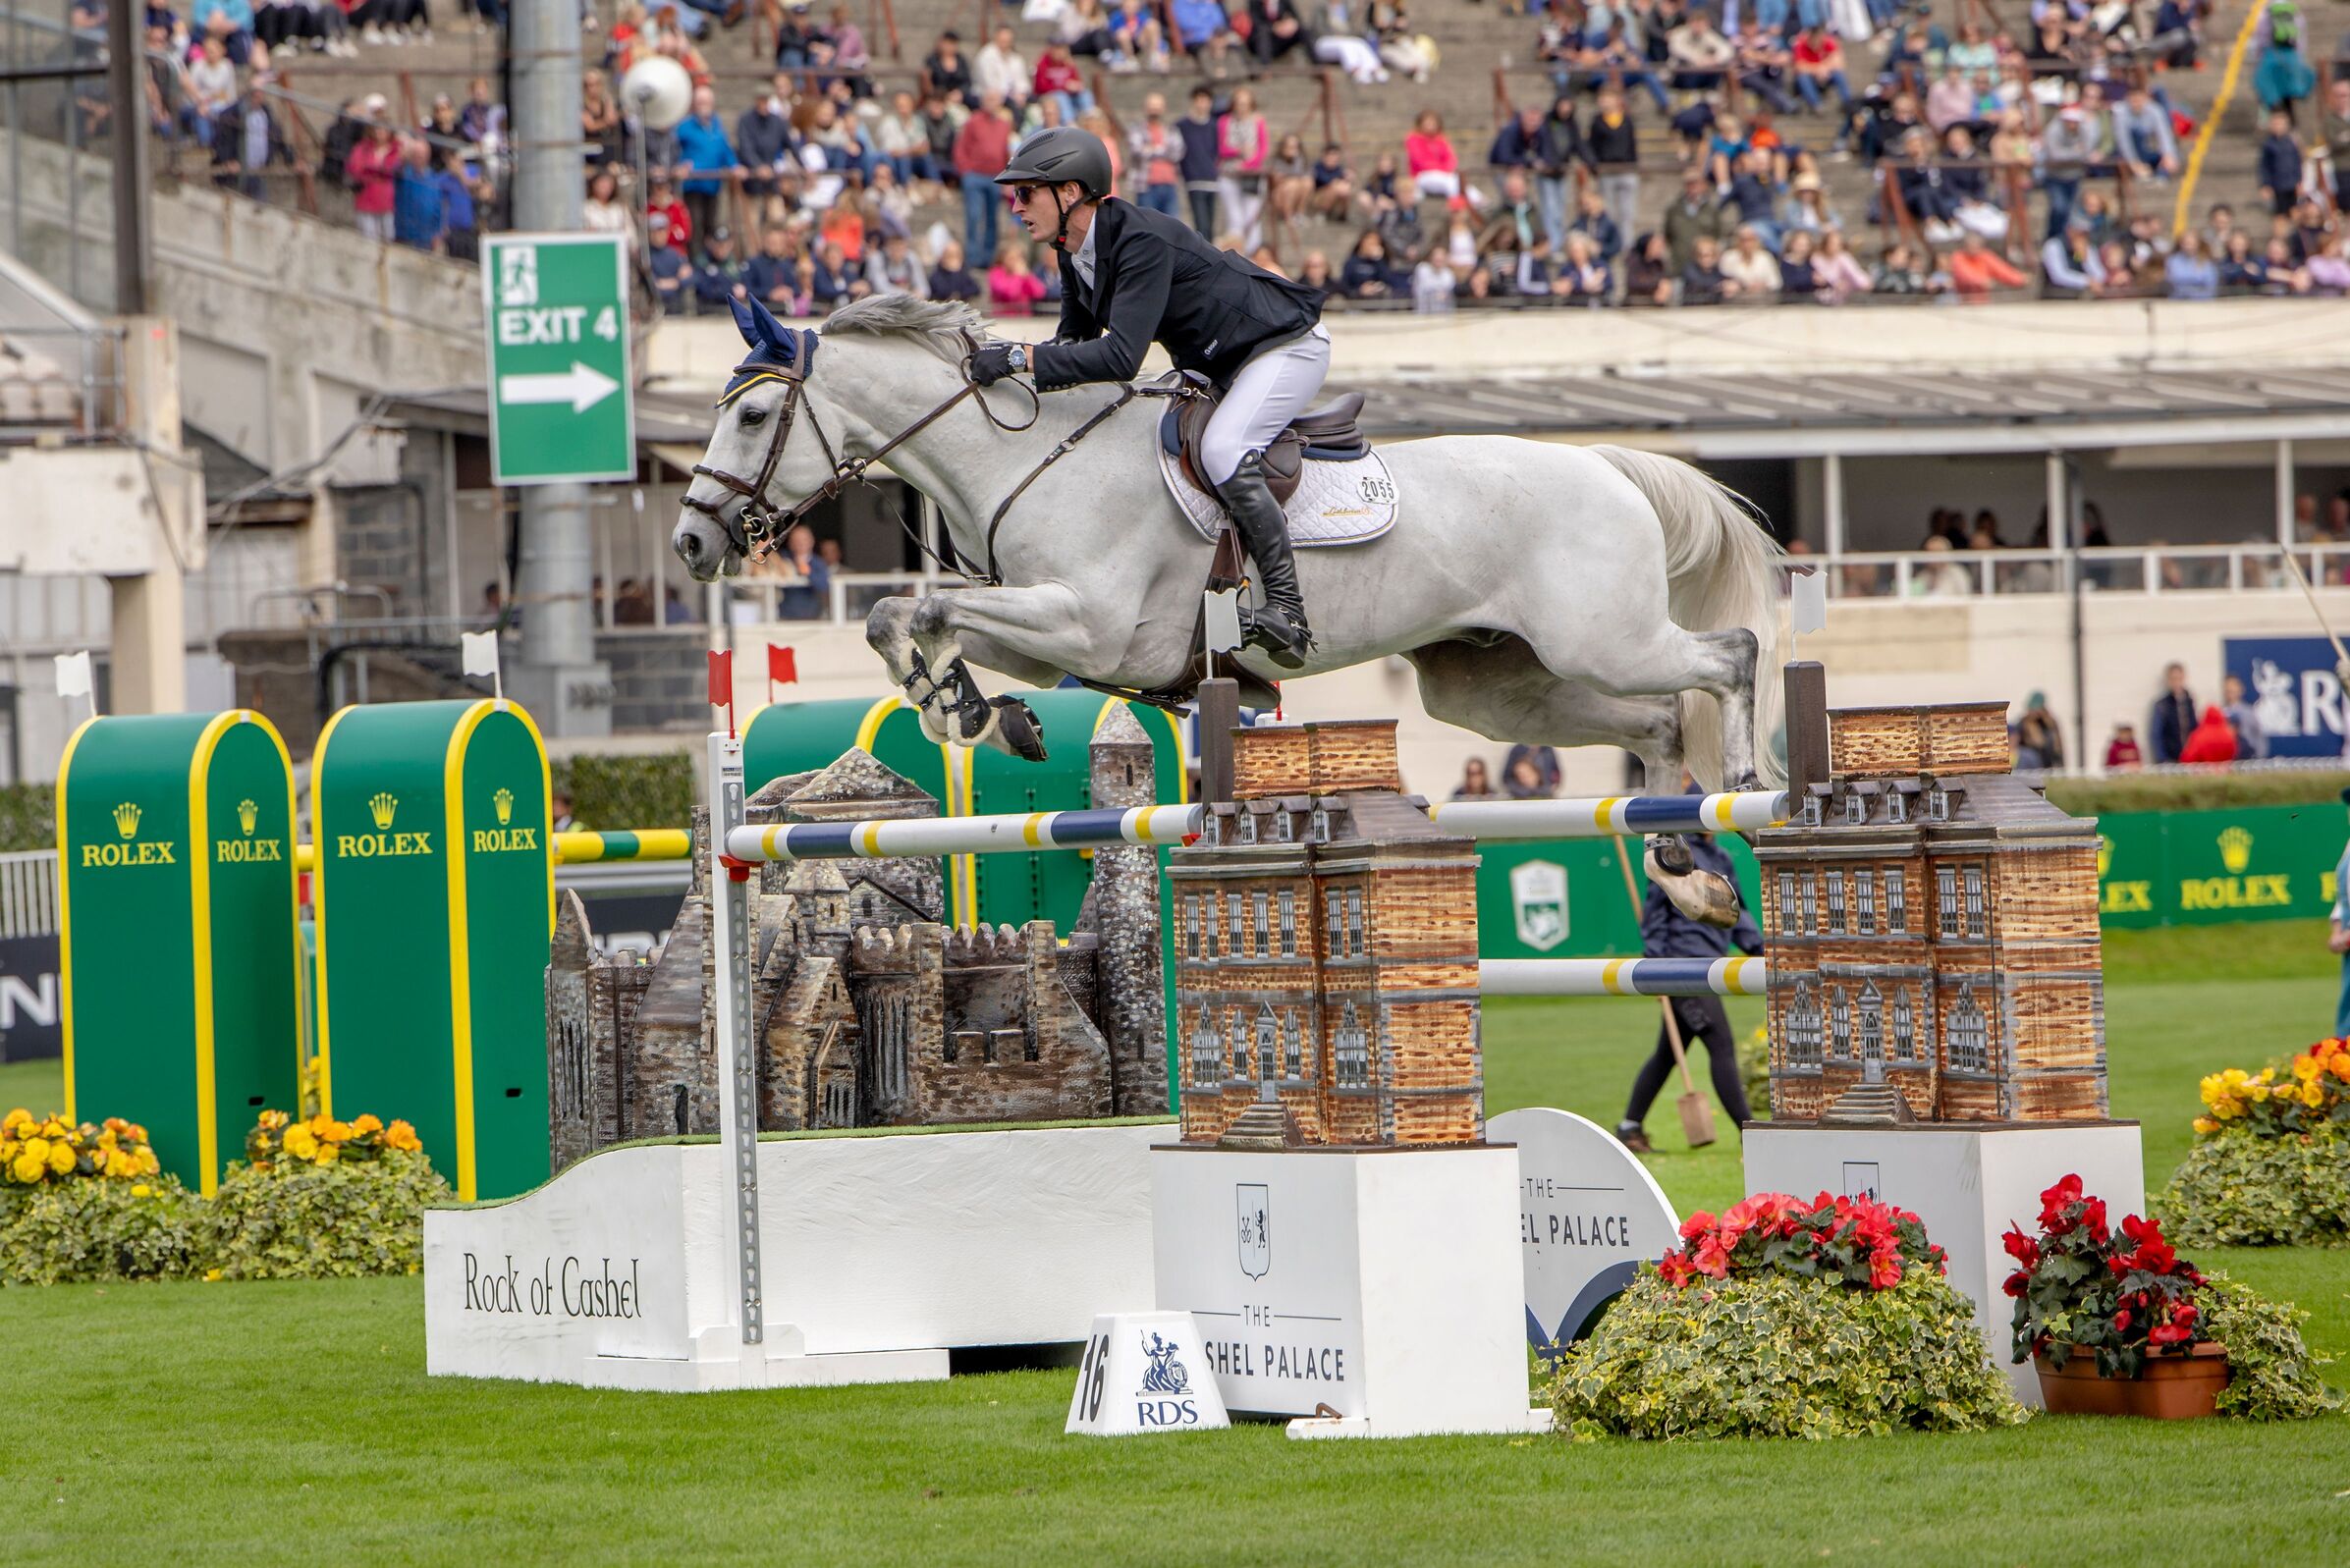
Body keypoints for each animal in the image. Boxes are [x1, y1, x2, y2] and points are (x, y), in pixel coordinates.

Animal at [677, 296, 1776, 803]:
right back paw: (1680, 864)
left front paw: (965, 708)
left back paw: (1741, 785)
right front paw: (979, 711)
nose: (691, 540)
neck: (1033, 454)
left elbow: (935, 610)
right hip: (1493, 687)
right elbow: (893, 614)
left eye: (756, 416)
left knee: (1728, 659)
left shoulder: (1091, 626)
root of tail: (1605, 462)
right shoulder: (1045, 633)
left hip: (1602, 638)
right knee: (1654, 725)